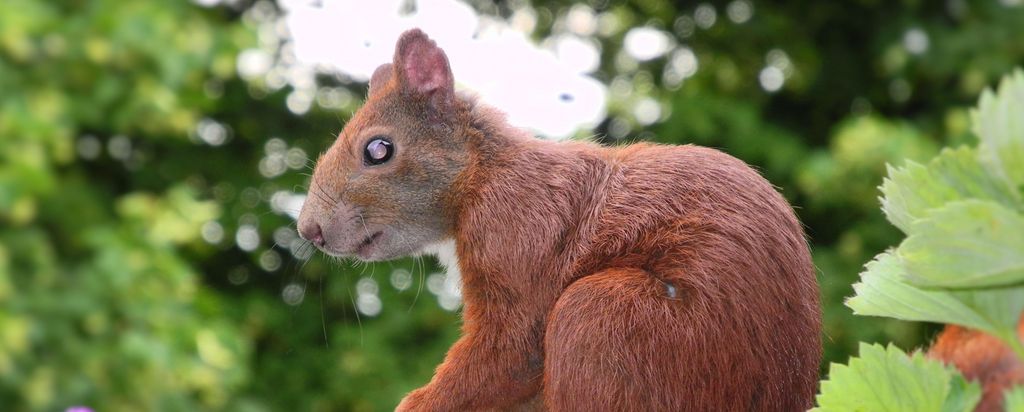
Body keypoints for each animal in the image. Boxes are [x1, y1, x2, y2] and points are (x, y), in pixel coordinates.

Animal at [296, 29, 822, 411]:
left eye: (378, 149)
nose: (309, 231)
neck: (484, 176)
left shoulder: (516, 233)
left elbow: (508, 352)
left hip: (607, 320)